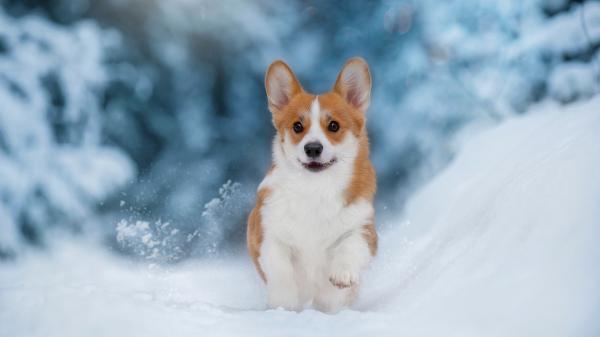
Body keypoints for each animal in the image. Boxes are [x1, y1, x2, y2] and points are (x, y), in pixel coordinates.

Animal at [246, 56, 378, 312]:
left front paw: (342, 275)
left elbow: (350, 245)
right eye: (298, 126)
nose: (313, 148)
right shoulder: (267, 231)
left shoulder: (364, 228)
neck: (316, 188)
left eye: (334, 126)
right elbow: (280, 266)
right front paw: (284, 304)